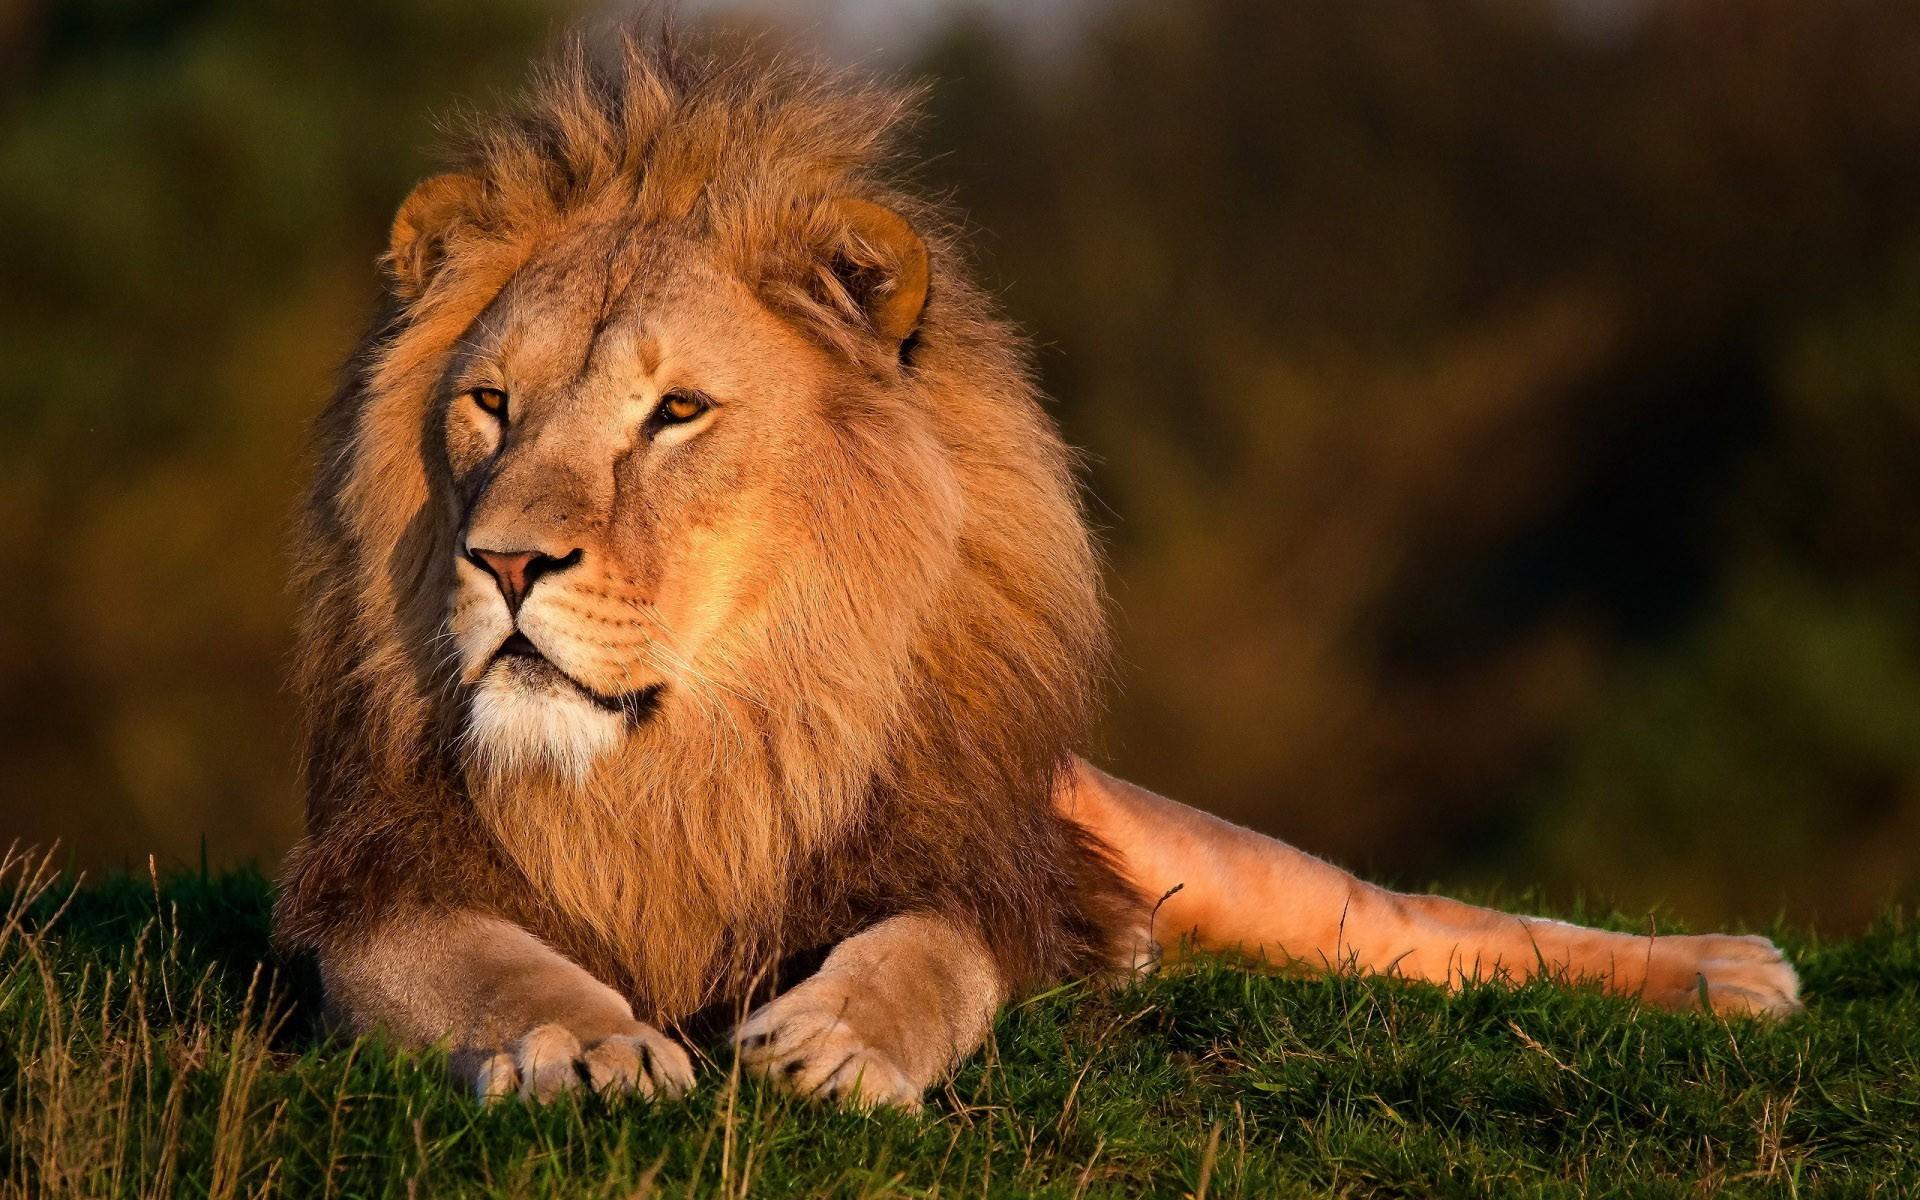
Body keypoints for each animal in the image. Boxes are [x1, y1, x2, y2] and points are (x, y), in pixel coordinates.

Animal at [273, 31, 1800, 1109]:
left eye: (678, 413)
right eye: (491, 405)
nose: (504, 562)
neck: (691, 759)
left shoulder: (974, 870)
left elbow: (927, 956)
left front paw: (836, 1043)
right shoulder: (377, 891)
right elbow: (485, 963)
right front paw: (587, 1043)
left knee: (1426, 924)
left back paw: (1736, 970)